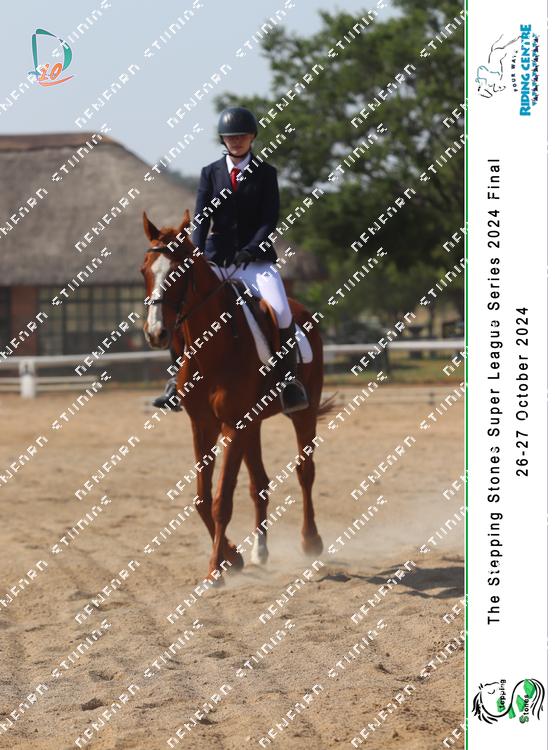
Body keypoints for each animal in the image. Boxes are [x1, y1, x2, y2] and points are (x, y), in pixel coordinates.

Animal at [140, 209, 335, 581]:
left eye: (178, 273)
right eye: (144, 270)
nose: (156, 332)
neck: (213, 348)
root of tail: (301, 310)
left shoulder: (233, 424)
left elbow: (221, 500)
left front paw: (216, 568)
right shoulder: (203, 425)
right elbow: (203, 497)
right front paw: (233, 557)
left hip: (301, 414)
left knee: (305, 472)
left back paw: (311, 541)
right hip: (253, 424)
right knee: (259, 483)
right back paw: (260, 551)